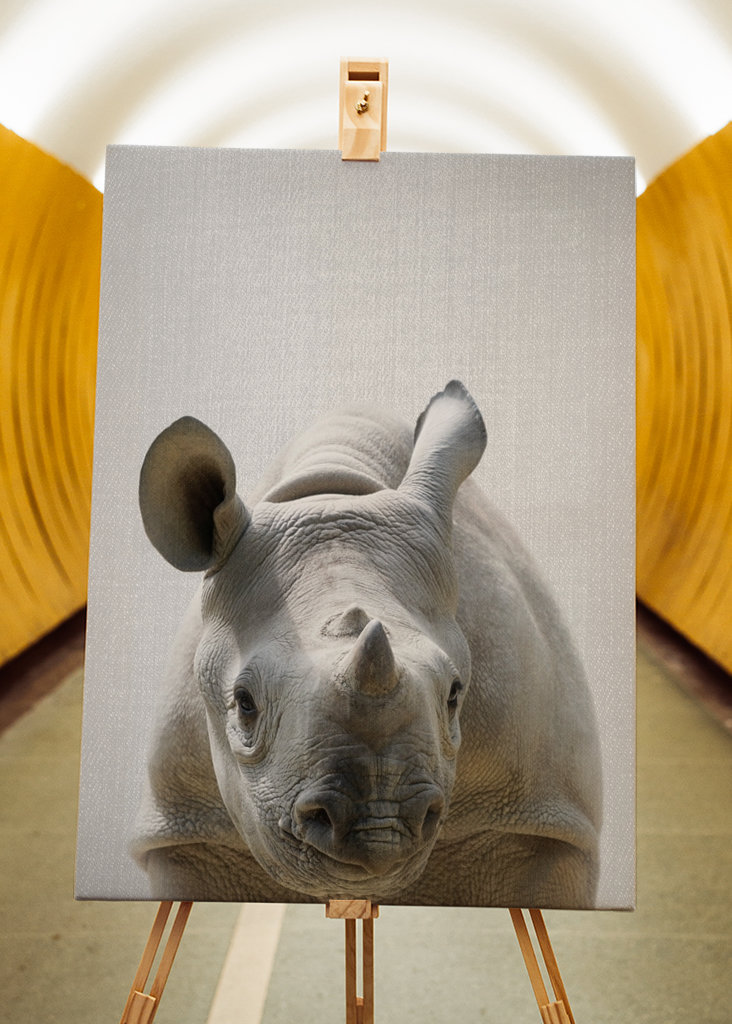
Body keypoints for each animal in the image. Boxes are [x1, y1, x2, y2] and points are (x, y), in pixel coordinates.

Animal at [133, 381, 602, 907]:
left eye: (455, 694)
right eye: (244, 702)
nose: (380, 826)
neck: (332, 492)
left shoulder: (543, 819)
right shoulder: (187, 830)